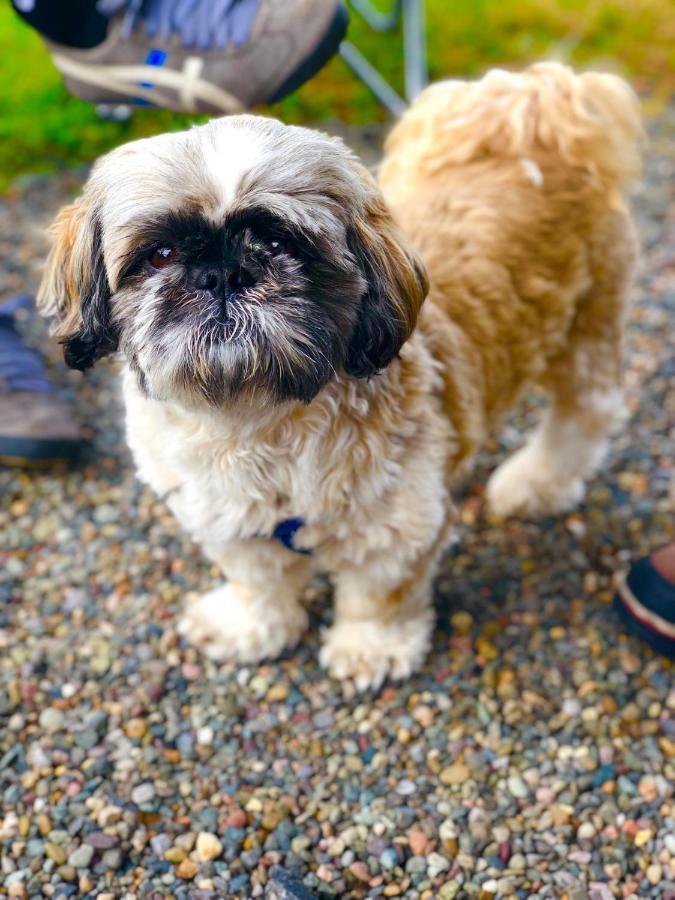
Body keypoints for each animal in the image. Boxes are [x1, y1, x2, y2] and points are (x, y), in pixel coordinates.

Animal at [41, 65, 644, 688]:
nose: (224, 272)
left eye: (278, 242)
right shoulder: (228, 521)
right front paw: (250, 625)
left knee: (585, 413)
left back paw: (535, 482)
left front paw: (370, 648)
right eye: (159, 255)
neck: (256, 421)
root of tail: (537, 109)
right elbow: (257, 580)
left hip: (587, 332)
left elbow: (377, 596)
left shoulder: (396, 528)